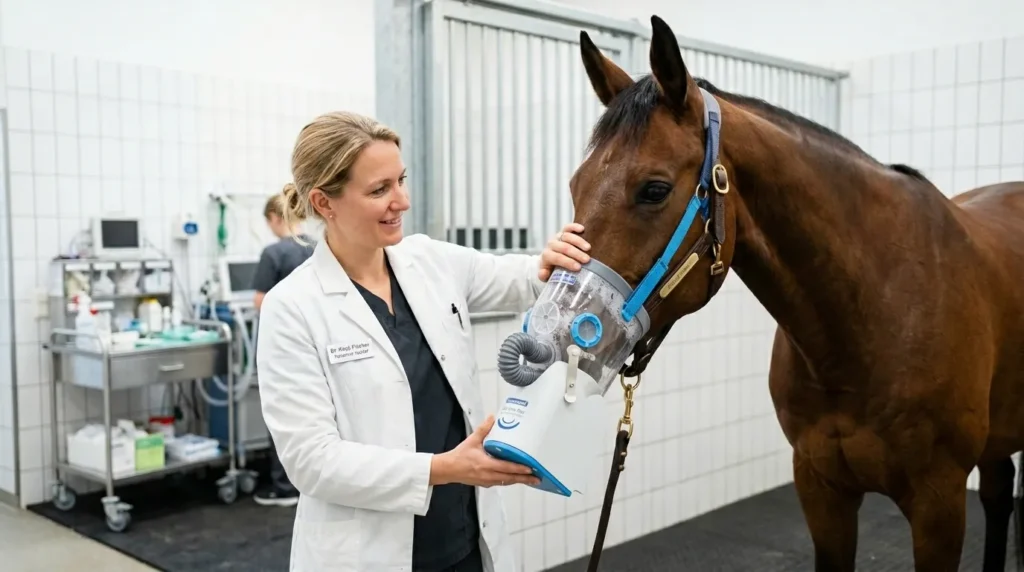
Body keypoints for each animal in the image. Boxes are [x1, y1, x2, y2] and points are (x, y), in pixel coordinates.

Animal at [569, 15, 1024, 572]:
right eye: (575, 184)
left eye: (654, 189)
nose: (568, 330)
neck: (877, 313)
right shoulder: (820, 488)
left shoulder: (939, 503)